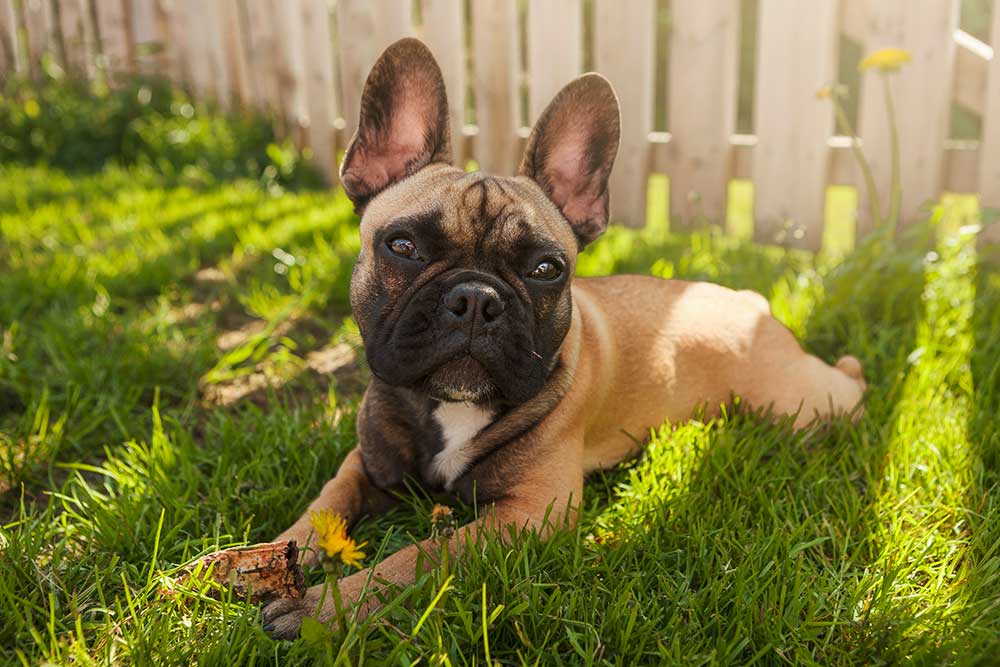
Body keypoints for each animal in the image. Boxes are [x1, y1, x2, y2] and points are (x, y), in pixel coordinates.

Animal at [262, 37, 864, 640]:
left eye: (546, 269)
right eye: (403, 246)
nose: (476, 298)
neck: (450, 408)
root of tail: (751, 303)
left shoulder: (529, 512)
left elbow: (420, 557)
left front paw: (325, 607)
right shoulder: (365, 465)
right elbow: (324, 507)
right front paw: (273, 558)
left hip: (801, 402)